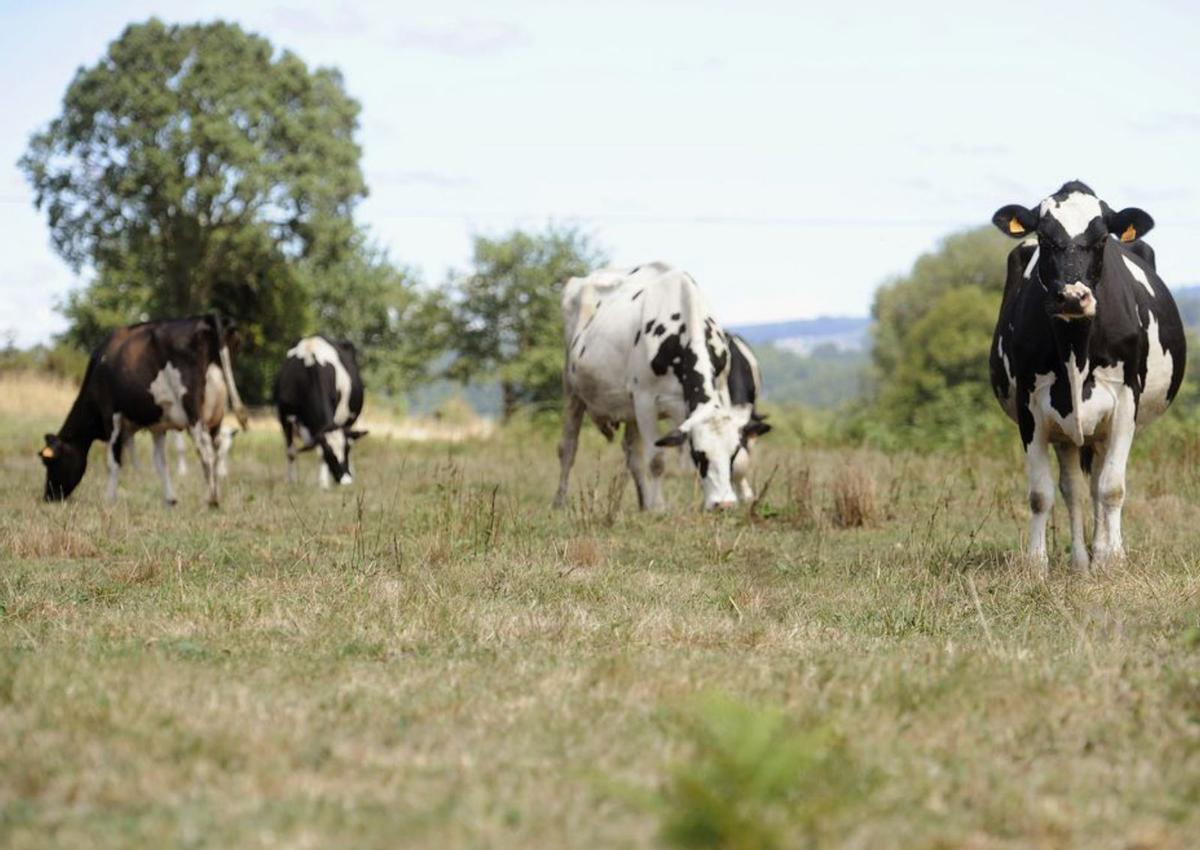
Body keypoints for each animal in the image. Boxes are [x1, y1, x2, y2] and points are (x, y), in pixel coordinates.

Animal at [39, 314, 248, 506]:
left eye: (50, 462)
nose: (49, 497)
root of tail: (206, 318)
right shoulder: (158, 427)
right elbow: (160, 462)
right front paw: (170, 499)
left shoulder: (112, 416)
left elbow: (113, 462)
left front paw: (109, 499)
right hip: (216, 416)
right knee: (216, 448)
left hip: (193, 413)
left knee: (206, 452)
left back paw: (211, 499)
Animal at [275, 335, 367, 487]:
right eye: (329, 454)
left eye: (346, 450)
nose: (346, 480)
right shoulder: (284, 416)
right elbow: (291, 451)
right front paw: (291, 481)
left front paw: (323, 483)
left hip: (349, 420)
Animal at [553, 262, 765, 511]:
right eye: (699, 454)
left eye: (731, 453)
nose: (723, 504)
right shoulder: (645, 401)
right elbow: (656, 460)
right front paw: (659, 508)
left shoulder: (719, 390)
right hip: (572, 390)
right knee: (568, 448)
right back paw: (559, 502)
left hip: (628, 406)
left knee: (632, 453)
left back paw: (643, 503)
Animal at [990, 181, 1186, 573]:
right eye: (1045, 238)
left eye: (1101, 239)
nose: (1071, 296)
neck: (1074, 349)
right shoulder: (1030, 406)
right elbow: (1041, 494)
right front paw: (1037, 565)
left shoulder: (1126, 401)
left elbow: (1112, 487)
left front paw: (1113, 559)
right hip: (1068, 433)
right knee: (1075, 489)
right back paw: (1082, 561)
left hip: (1103, 427)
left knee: (1098, 485)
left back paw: (1103, 554)